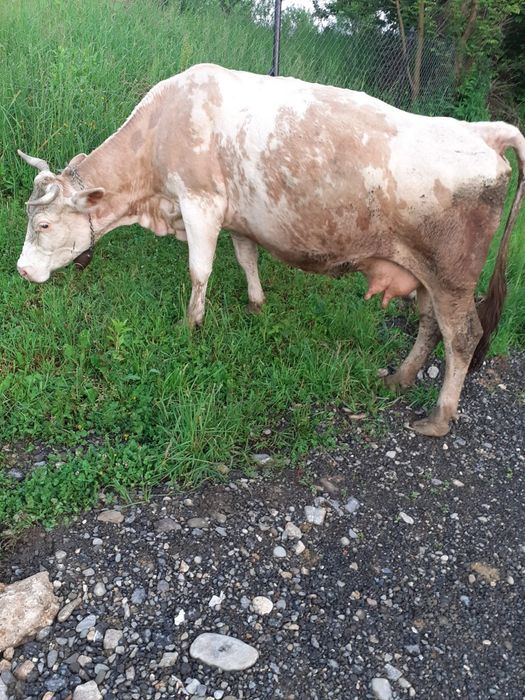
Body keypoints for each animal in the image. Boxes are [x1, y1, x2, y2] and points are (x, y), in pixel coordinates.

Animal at [16, 63, 524, 437]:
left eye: (43, 223)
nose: (21, 270)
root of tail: (483, 132)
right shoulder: (239, 217)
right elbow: (246, 259)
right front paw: (256, 305)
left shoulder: (201, 203)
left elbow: (199, 270)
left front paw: (190, 325)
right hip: (423, 272)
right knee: (429, 324)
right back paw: (400, 377)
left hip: (452, 276)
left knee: (462, 336)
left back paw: (439, 417)